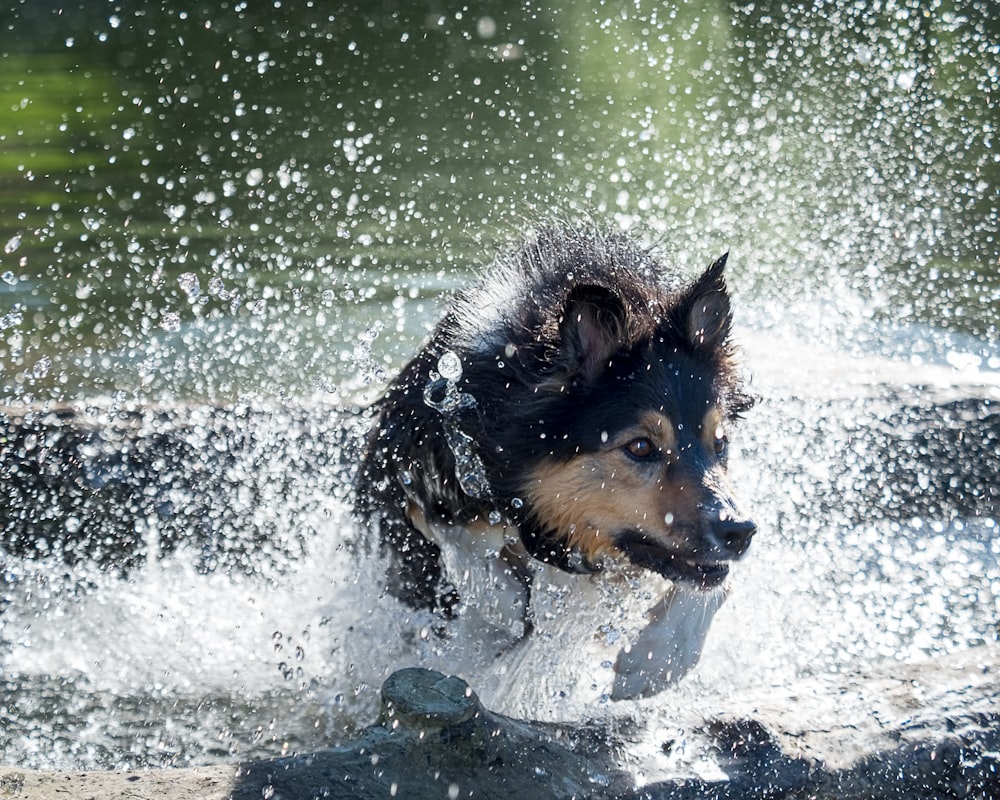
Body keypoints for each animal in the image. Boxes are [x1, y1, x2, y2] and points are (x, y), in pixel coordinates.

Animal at [356, 225, 752, 700]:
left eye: (720, 442)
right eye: (640, 447)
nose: (740, 532)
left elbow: (714, 586)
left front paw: (652, 663)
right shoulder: (415, 467)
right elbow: (472, 556)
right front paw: (502, 612)